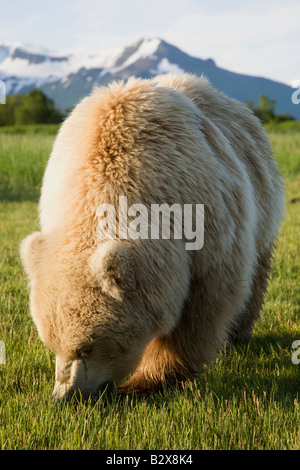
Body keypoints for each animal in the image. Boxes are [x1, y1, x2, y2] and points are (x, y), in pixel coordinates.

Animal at [20, 72, 284, 400]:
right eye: (51, 342)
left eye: (87, 347)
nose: (65, 395)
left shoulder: (205, 216)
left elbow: (202, 304)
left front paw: (147, 380)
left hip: (261, 195)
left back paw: (238, 333)